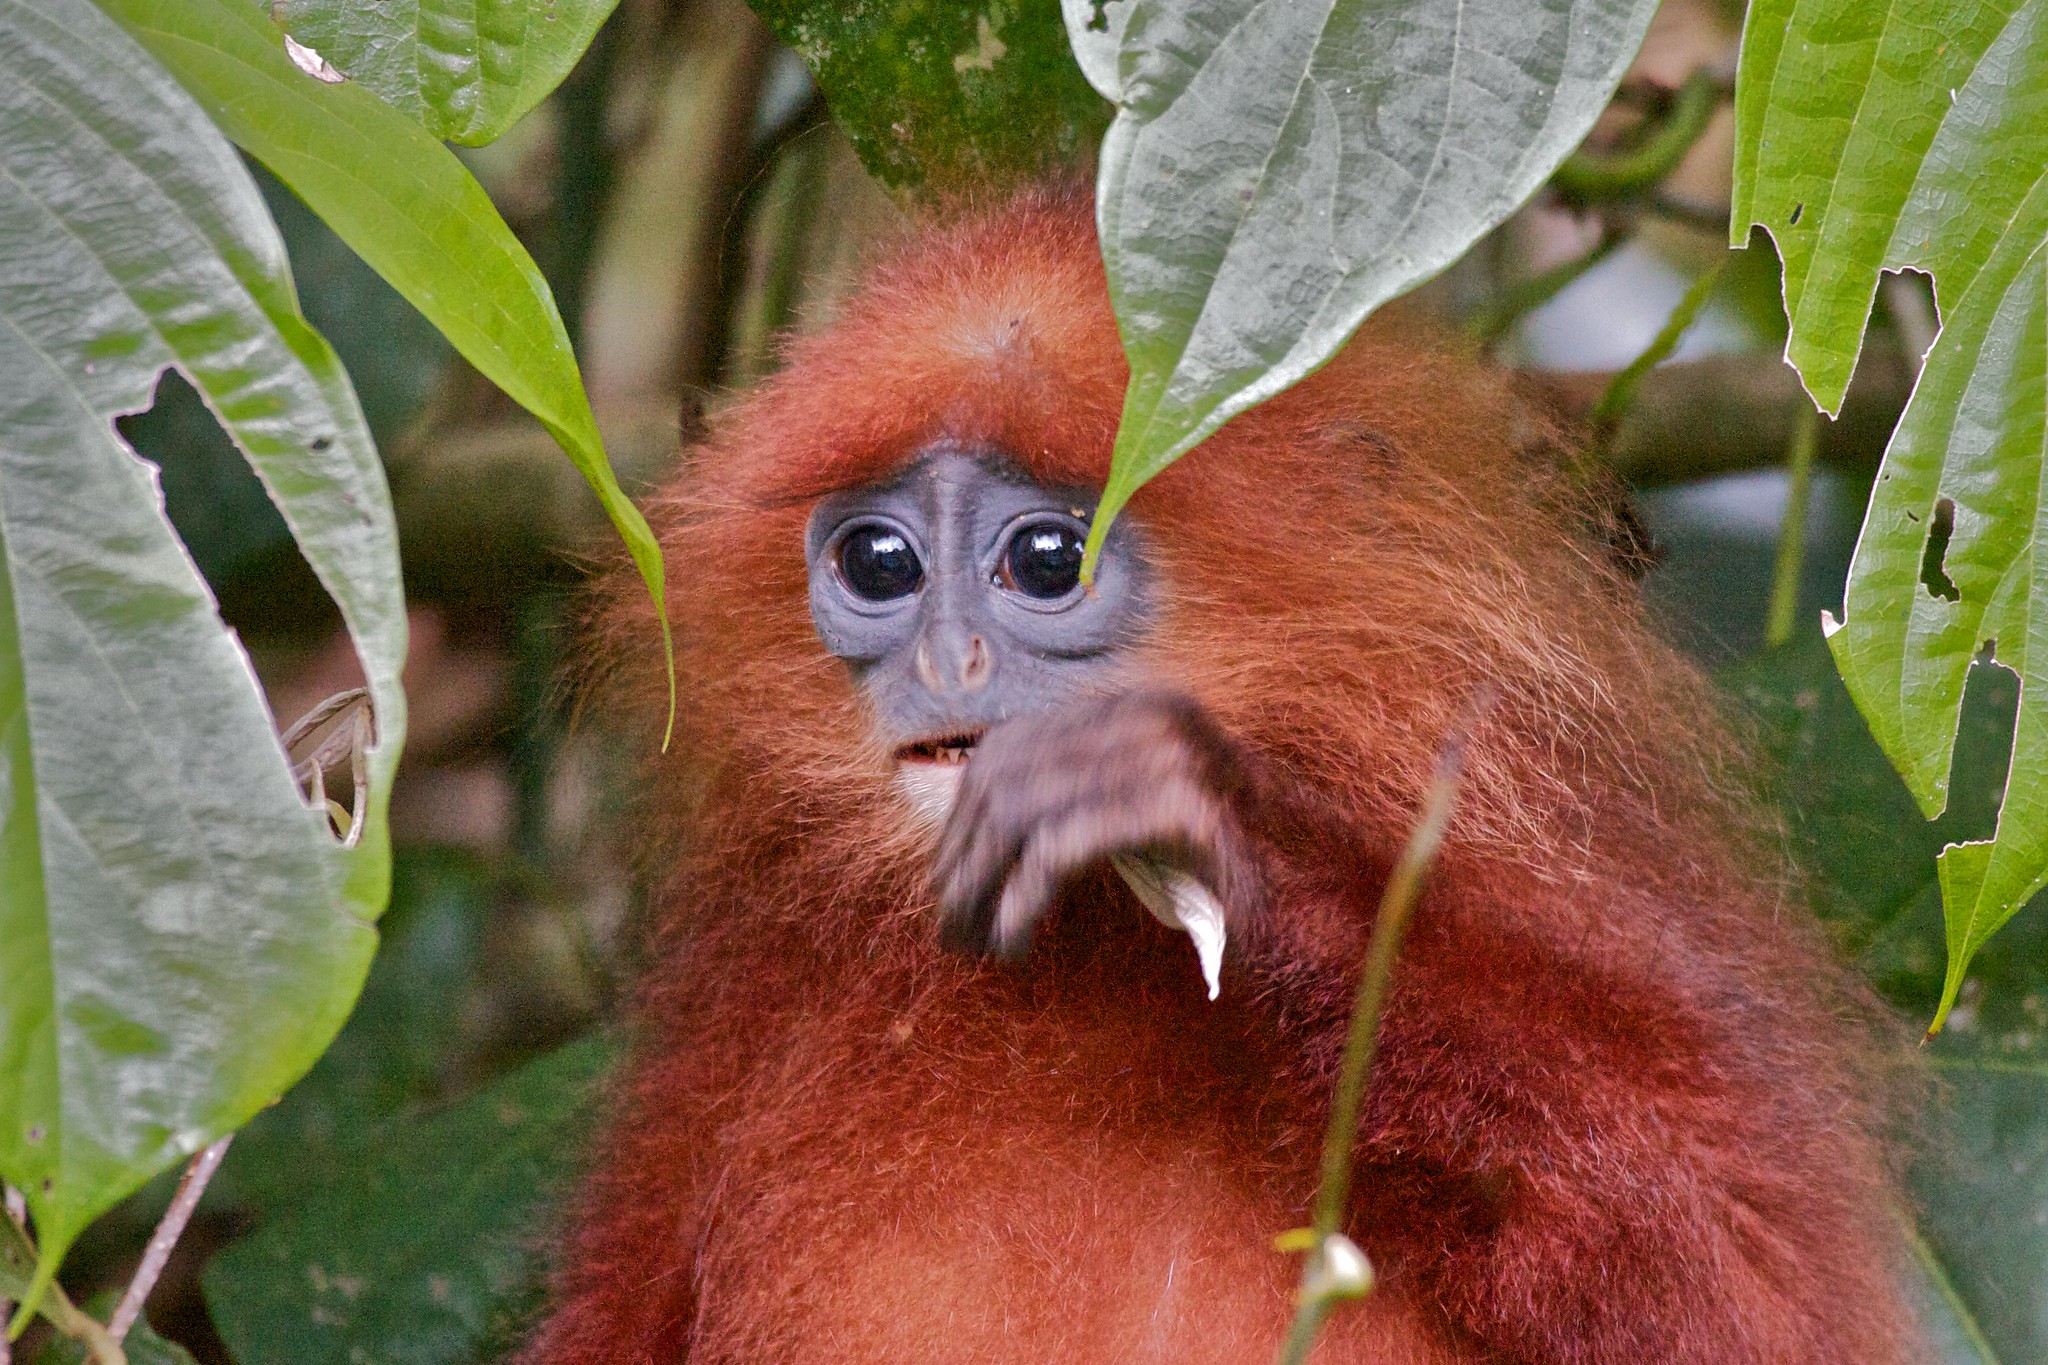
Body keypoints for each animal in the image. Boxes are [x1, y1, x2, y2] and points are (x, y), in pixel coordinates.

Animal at [524, 194, 1916, 1365]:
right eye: (879, 562)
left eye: (1046, 559)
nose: (944, 657)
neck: (1079, 948)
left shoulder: (1580, 866)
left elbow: (1743, 1283)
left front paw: (1200, 816)